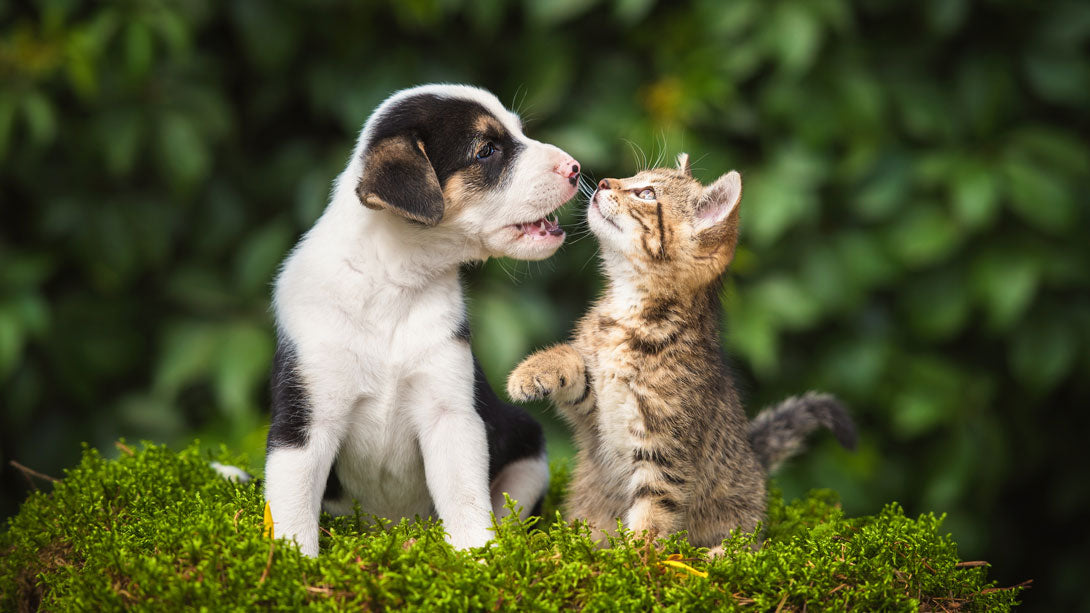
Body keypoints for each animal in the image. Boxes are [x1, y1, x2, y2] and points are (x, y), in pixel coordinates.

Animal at [264, 83, 584, 556]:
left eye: (518, 132)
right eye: (486, 150)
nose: (575, 168)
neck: (393, 282)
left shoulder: (450, 415)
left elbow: (466, 501)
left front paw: (478, 558)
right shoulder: (302, 425)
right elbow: (293, 510)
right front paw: (294, 563)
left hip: (528, 451)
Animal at [505, 152, 854, 549]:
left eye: (646, 193)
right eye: (633, 177)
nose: (605, 181)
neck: (631, 312)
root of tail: (755, 461)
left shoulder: (664, 447)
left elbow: (652, 513)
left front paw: (632, 556)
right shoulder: (596, 407)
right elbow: (574, 363)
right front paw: (532, 371)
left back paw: (718, 554)